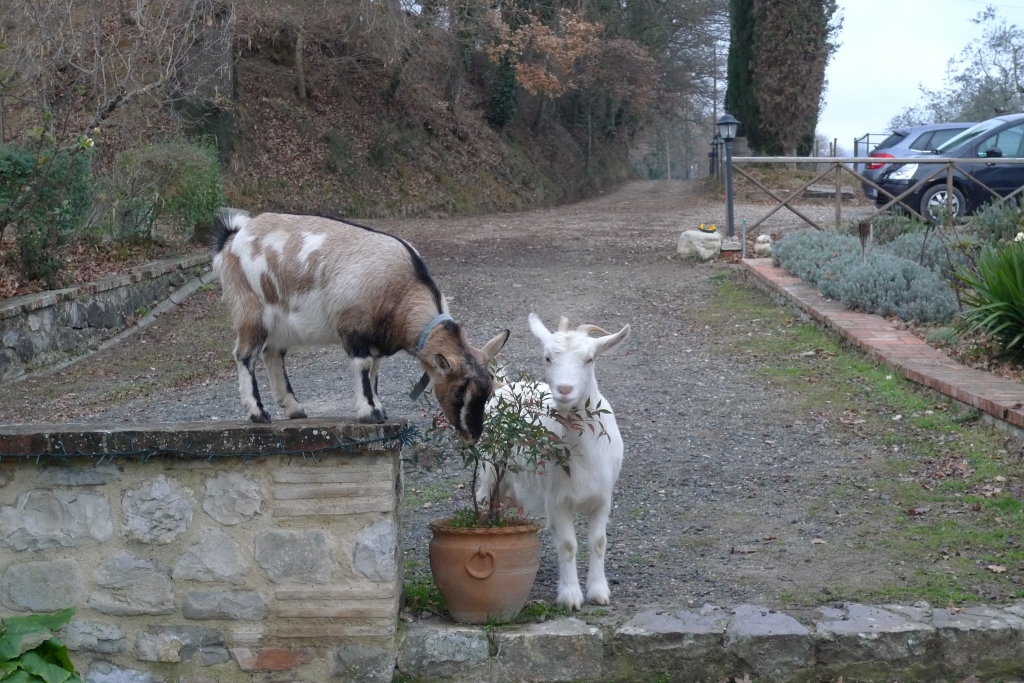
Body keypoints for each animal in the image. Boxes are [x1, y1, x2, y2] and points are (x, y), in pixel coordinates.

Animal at [210, 210, 507, 440]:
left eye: (488, 391)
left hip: (279, 323)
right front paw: (370, 412)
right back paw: (258, 413)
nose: (473, 434)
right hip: (251, 310)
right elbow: (363, 367)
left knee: (272, 354)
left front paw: (379, 407)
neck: (403, 288)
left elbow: (374, 371)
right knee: (245, 355)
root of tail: (234, 237)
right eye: (458, 392)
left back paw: (295, 408)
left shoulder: (375, 339)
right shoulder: (354, 330)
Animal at [479, 313, 630, 610]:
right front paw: (570, 596)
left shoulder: (603, 498)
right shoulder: (557, 500)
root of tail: (504, 386)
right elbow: (568, 545)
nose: (564, 389)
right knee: (484, 500)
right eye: (547, 357)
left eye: (590, 359)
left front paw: (599, 592)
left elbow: (598, 542)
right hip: (490, 468)